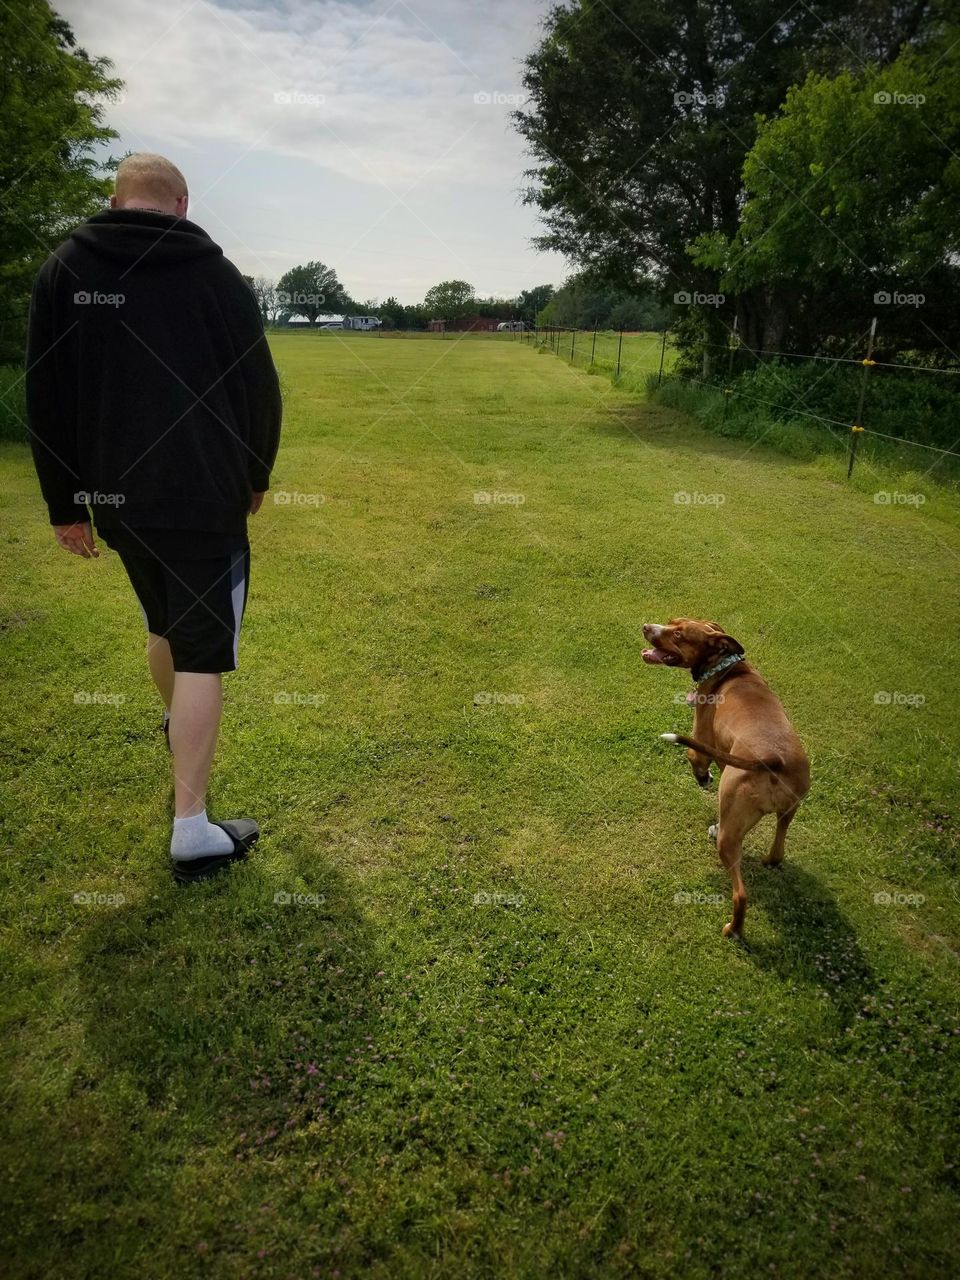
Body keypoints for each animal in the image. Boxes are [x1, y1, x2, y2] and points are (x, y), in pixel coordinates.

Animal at [647, 619, 814, 942]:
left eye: (678, 634)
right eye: (671, 622)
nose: (646, 627)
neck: (726, 668)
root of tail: (773, 760)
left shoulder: (701, 744)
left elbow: (693, 757)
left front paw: (704, 779)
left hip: (730, 832)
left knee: (740, 893)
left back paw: (733, 930)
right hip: (790, 809)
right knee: (778, 849)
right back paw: (769, 861)